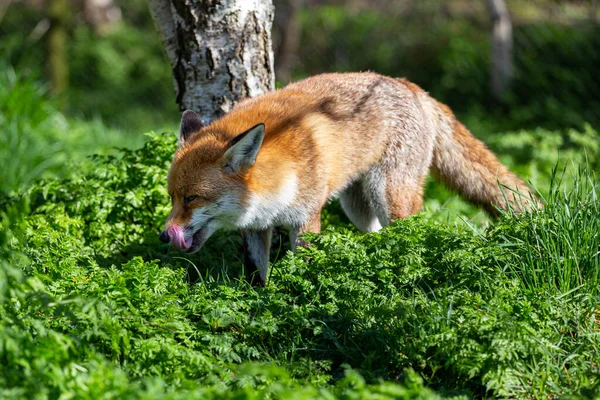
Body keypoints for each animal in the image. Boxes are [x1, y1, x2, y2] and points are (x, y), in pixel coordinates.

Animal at [157, 72, 536, 284]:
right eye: (172, 197)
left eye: (192, 198)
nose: (163, 236)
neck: (274, 183)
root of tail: (409, 85)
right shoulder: (255, 227)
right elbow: (256, 275)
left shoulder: (306, 218)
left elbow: (303, 269)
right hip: (358, 208)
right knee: (376, 236)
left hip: (389, 197)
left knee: (410, 235)